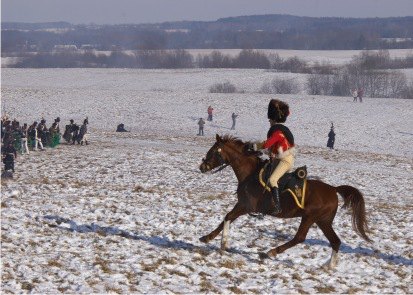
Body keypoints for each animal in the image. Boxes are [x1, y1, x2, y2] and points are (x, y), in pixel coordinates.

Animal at [198, 135, 368, 270]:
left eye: (213, 151)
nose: (202, 167)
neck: (250, 174)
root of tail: (333, 189)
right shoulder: (241, 205)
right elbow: (225, 220)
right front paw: (207, 238)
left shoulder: (246, 206)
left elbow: (227, 217)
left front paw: (223, 243)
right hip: (323, 221)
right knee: (335, 241)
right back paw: (329, 265)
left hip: (309, 217)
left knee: (299, 238)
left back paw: (270, 252)